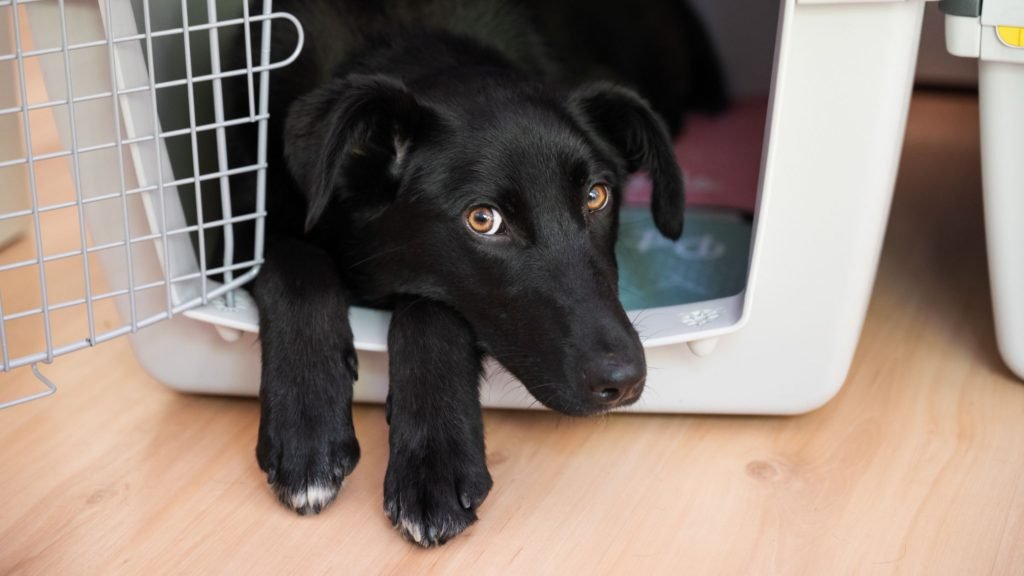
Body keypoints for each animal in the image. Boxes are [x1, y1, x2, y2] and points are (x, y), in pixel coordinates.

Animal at [228, 0, 729, 541]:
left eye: (597, 195)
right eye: (483, 219)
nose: (624, 380)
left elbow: (430, 310)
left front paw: (435, 463)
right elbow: (295, 265)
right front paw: (308, 426)